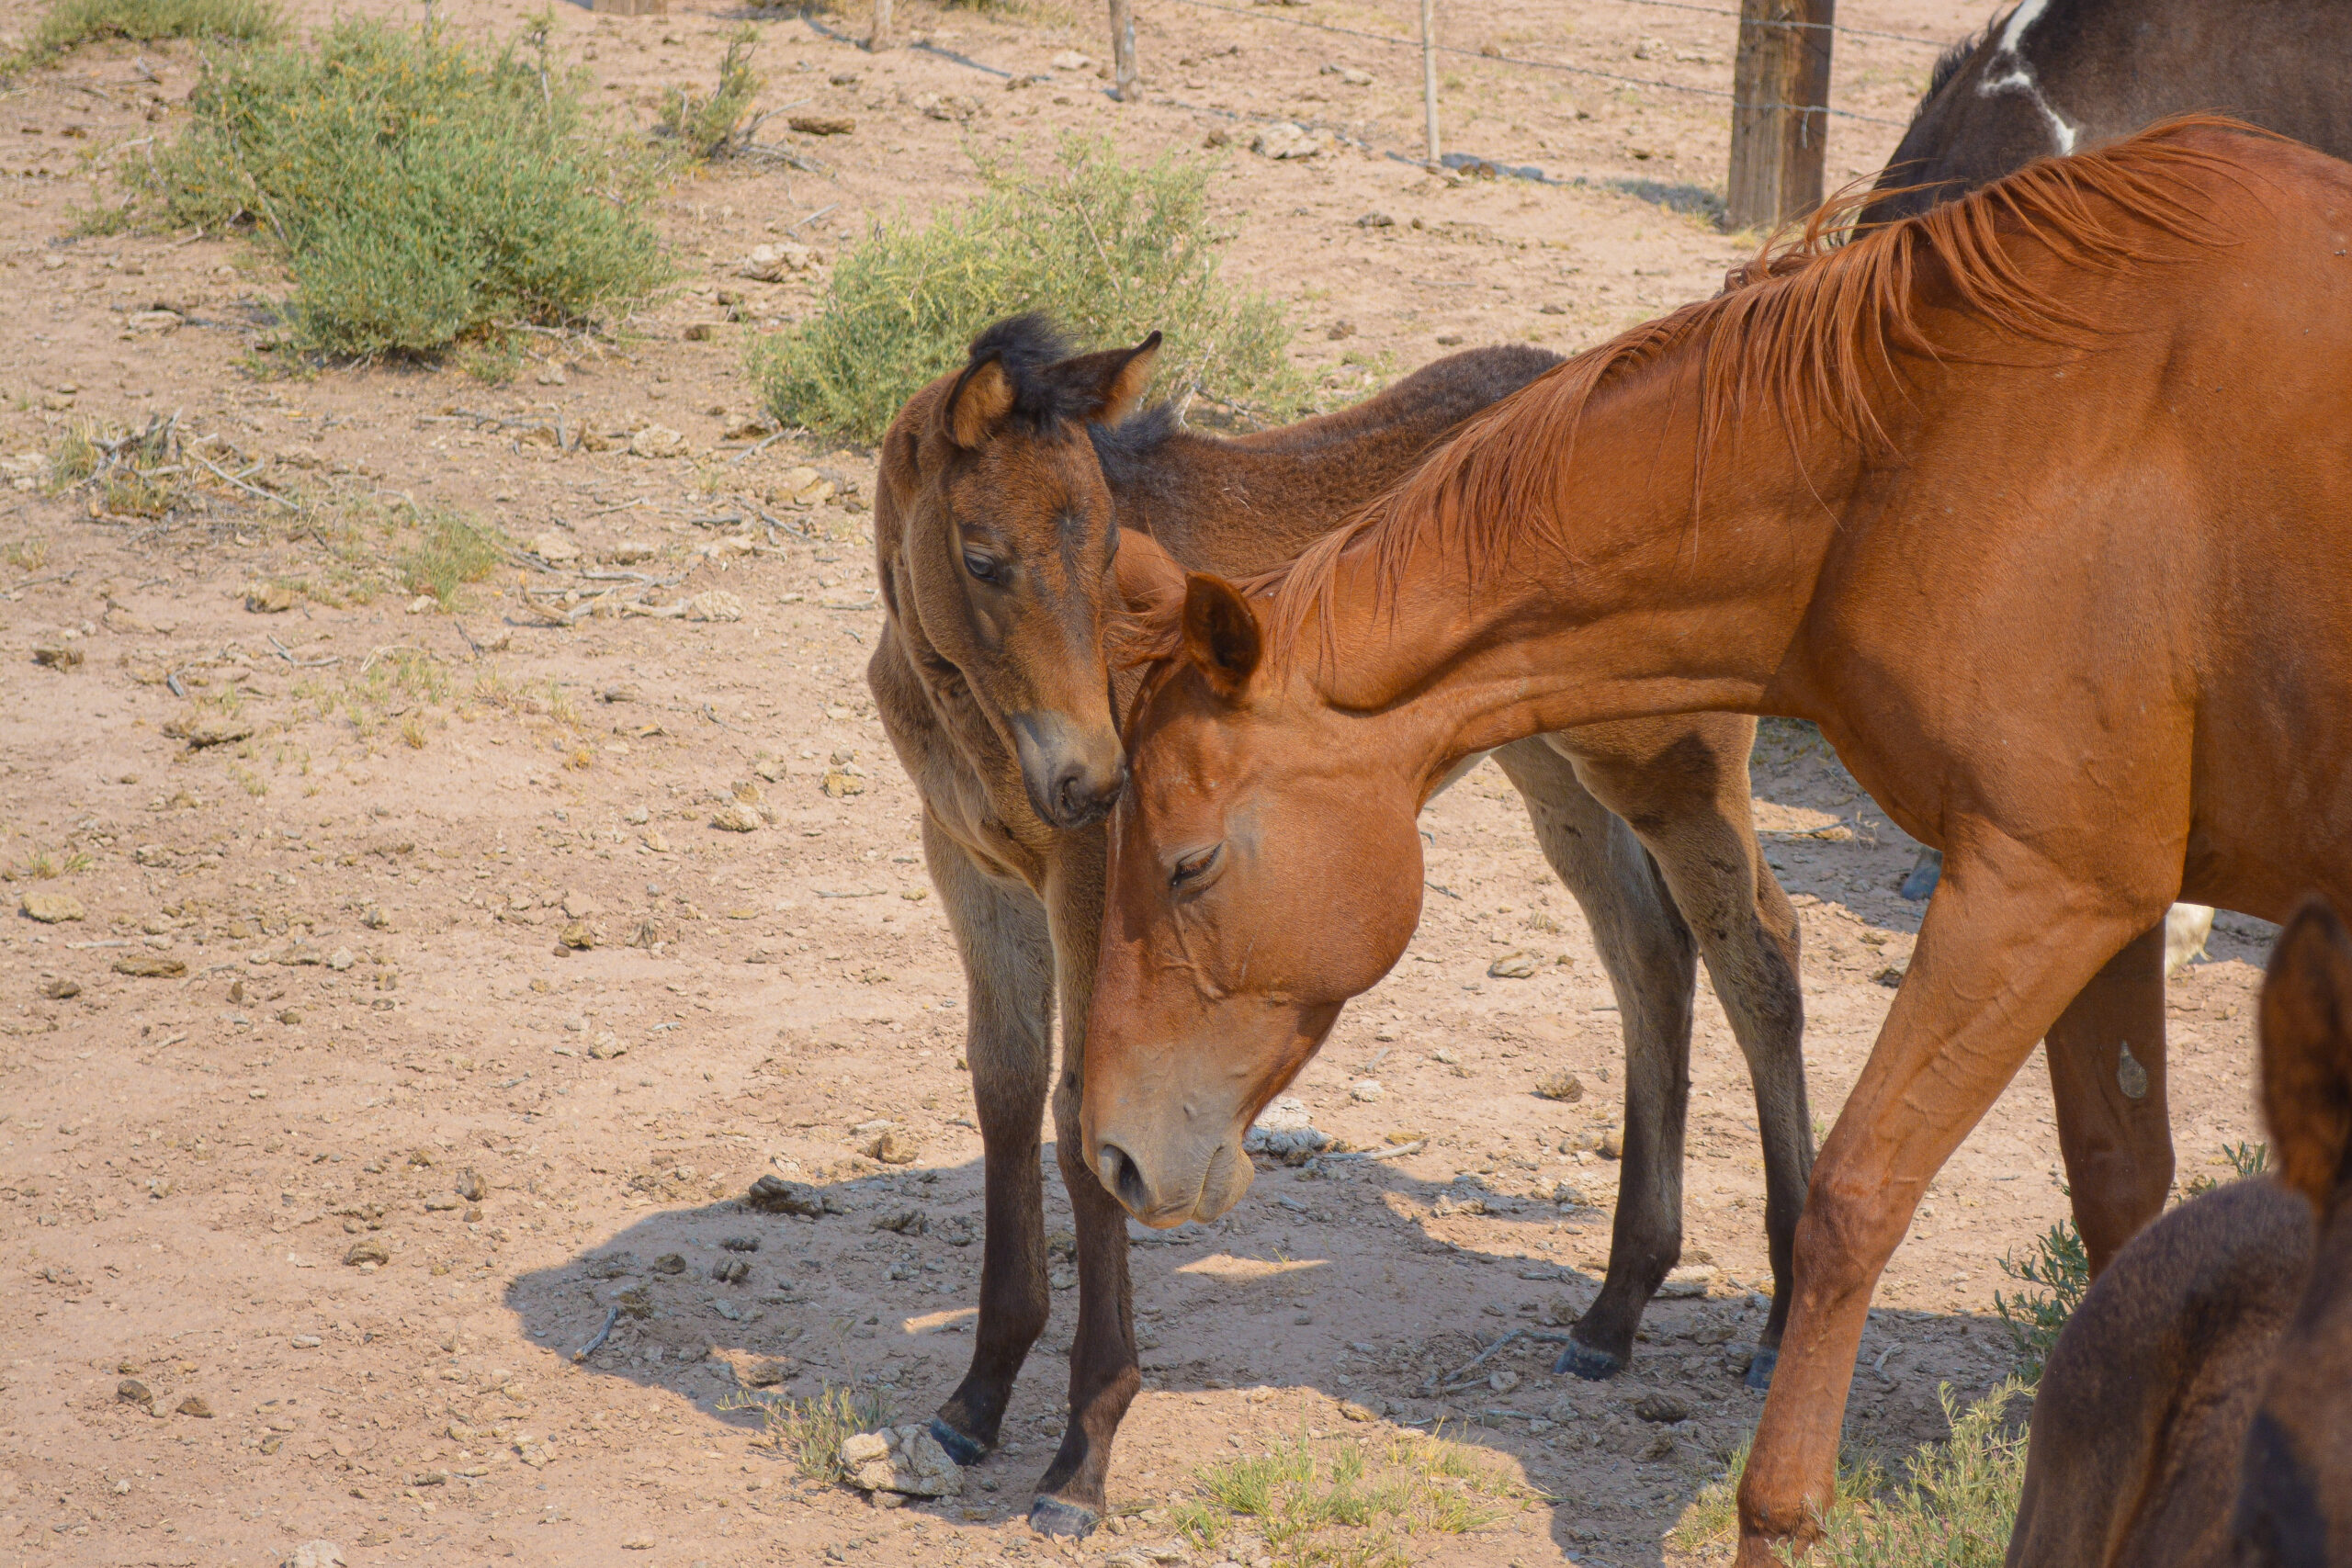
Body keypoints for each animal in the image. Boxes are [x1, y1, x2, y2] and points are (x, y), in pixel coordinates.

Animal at [868, 319, 1822, 1536]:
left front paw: (1080, 1456)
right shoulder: (970, 870)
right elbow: (1002, 1091)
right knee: (1648, 955)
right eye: (983, 557)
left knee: (1758, 955)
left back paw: (1781, 1322)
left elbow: (1084, 1115)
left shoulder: (1087, 890)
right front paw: (975, 1400)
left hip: (1673, 769)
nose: (1089, 779)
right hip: (1549, 767)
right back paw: (1613, 1311)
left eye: (1106, 556)